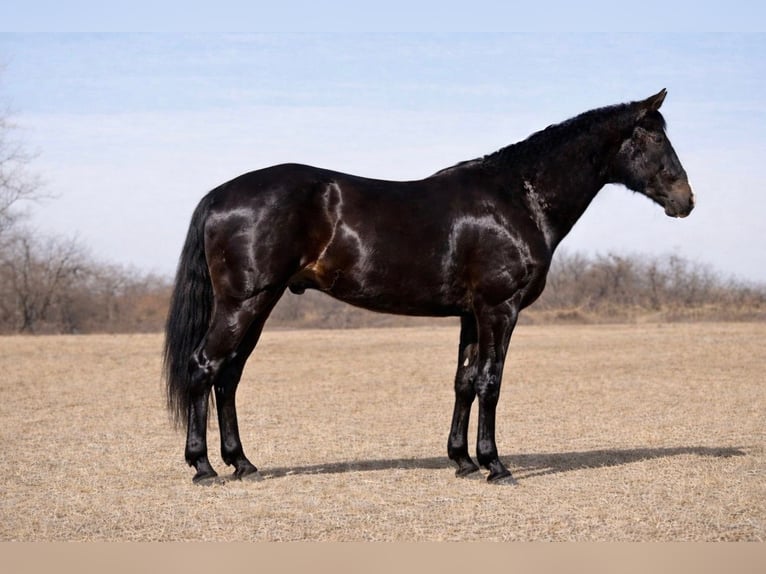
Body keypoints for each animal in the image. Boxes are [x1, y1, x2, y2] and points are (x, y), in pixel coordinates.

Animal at [164, 89, 694, 484]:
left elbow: (464, 381)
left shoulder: (470, 314)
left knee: (228, 376)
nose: (685, 200)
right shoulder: (500, 308)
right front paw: (495, 465)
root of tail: (219, 195)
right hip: (243, 302)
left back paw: (243, 463)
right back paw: (204, 467)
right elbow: (491, 382)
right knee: (205, 367)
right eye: (654, 138)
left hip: (260, 302)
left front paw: (462, 461)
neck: (516, 198)